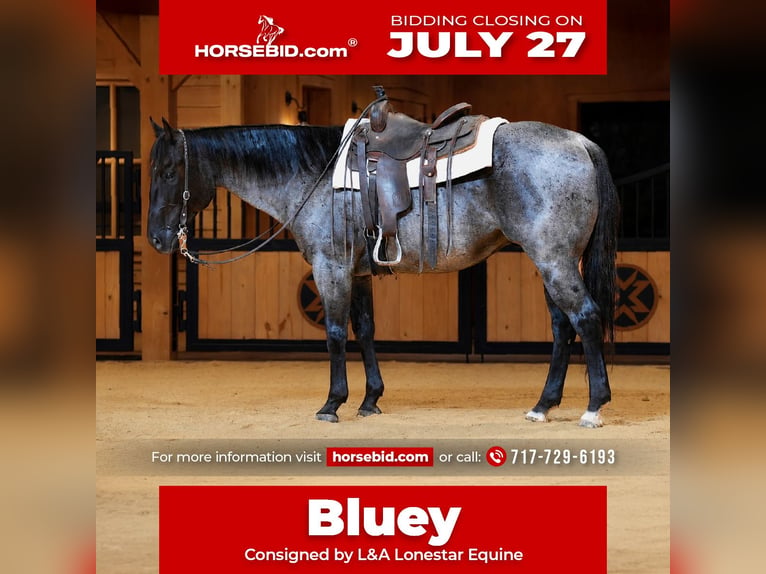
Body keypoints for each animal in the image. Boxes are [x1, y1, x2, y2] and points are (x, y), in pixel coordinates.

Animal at [147, 110, 619, 428]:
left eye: (169, 172)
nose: (155, 239)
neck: (316, 176)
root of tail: (580, 142)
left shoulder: (331, 267)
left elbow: (336, 333)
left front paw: (332, 403)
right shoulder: (357, 273)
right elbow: (366, 330)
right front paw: (370, 400)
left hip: (554, 259)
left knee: (585, 318)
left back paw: (594, 406)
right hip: (548, 262)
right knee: (562, 326)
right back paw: (543, 406)